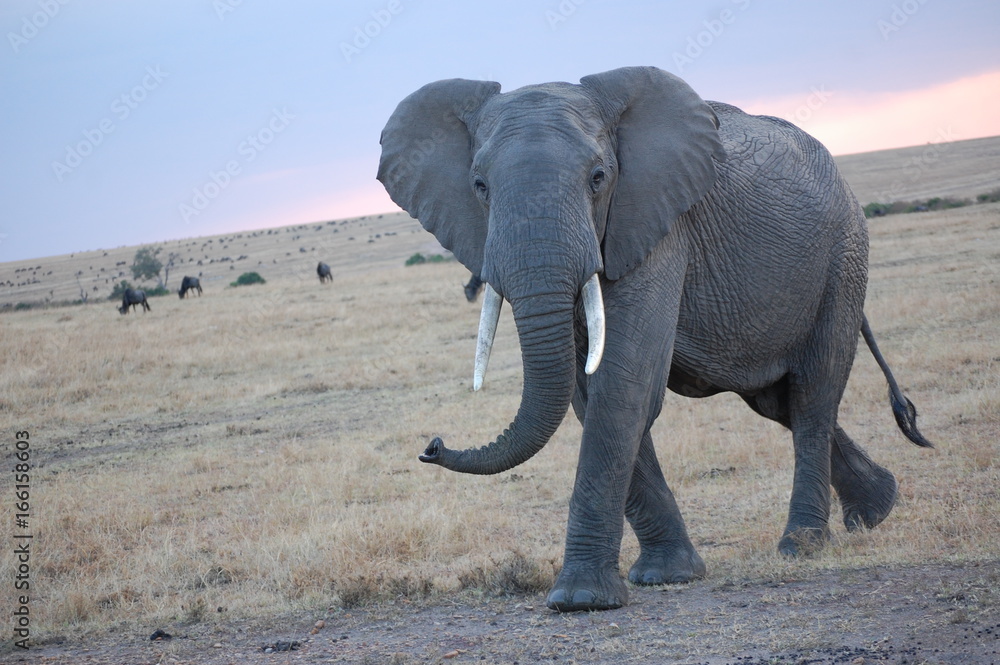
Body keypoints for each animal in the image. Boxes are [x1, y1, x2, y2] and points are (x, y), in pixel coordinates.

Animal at [377, 66, 933, 612]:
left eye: (599, 179)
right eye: (479, 186)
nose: (432, 445)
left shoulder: (660, 227)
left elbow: (623, 386)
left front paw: (579, 599)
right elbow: (589, 392)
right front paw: (669, 576)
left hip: (845, 255)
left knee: (814, 393)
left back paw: (802, 545)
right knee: (779, 402)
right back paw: (876, 510)